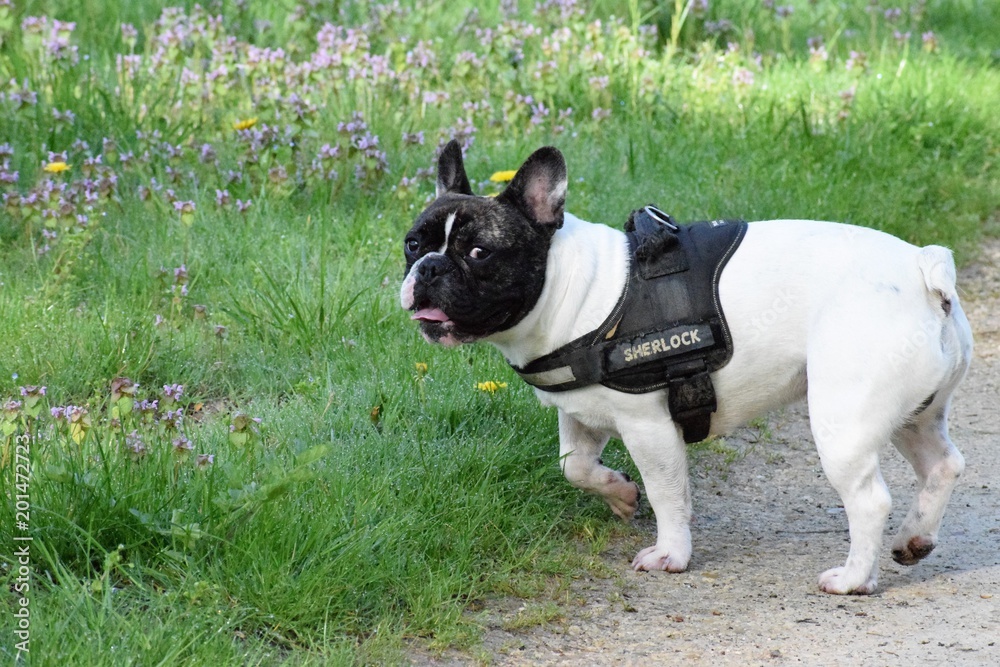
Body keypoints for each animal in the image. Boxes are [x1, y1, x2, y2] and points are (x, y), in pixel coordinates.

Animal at [396, 141, 968, 596]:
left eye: (478, 252)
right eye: (412, 243)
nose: (429, 267)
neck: (569, 286)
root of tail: (923, 268)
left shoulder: (647, 426)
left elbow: (667, 493)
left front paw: (670, 553)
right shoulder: (579, 413)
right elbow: (574, 466)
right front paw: (620, 494)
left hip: (842, 419)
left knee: (869, 500)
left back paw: (853, 579)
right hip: (912, 414)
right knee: (944, 464)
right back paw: (915, 538)